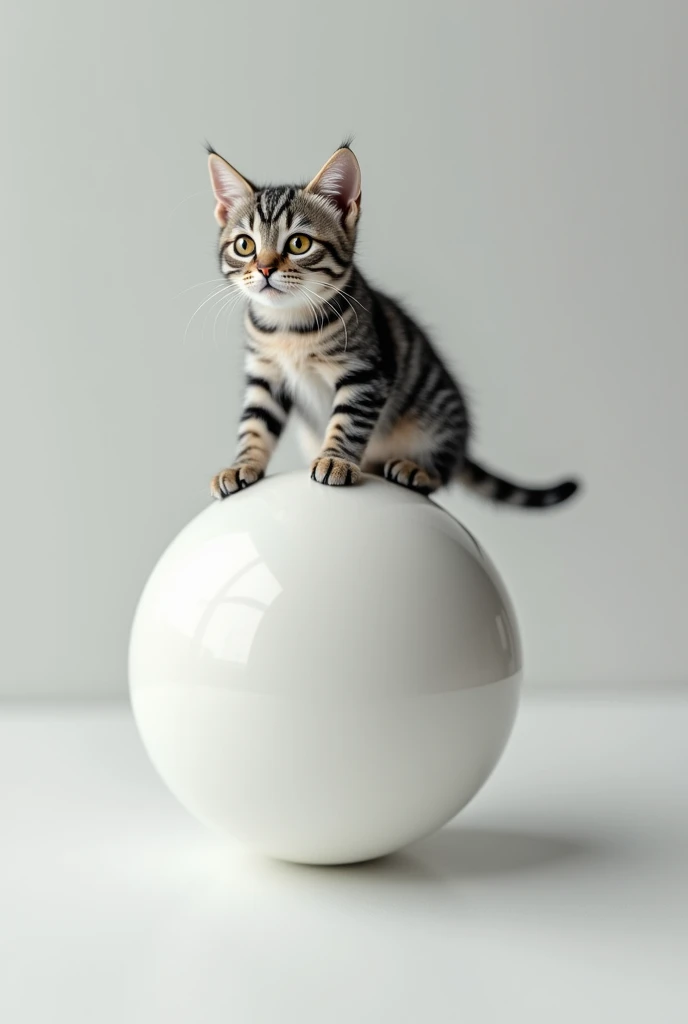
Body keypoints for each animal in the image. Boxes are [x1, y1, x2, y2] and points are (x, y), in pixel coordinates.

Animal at [206, 142, 577, 509]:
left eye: (299, 243)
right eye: (245, 245)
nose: (265, 268)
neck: (288, 327)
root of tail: (461, 448)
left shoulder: (366, 372)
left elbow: (348, 421)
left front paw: (335, 459)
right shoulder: (265, 376)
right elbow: (254, 425)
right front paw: (242, 465)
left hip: (436, 419)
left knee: (441, 472)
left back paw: (416, 470)